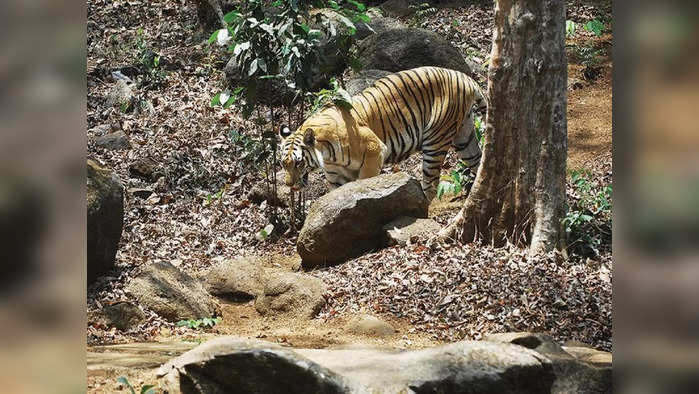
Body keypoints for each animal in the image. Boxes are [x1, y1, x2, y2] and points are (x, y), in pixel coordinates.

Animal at [278, 66, 486, 200]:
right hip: (464, 137)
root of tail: (464, 77)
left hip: (436, 140)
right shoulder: (336, 178)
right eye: (283, 164)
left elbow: (363, 184)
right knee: (479, 162)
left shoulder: (374, 151)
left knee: (431, 183)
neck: (327, 155)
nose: (289, 185)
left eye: (299, 163)